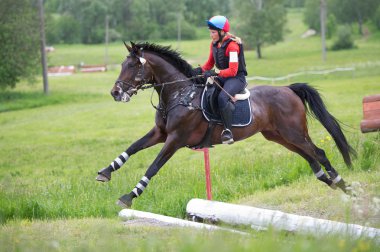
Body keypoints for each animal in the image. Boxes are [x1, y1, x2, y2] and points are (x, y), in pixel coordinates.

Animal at [95, 40, 356, 207]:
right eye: (122, 65)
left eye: (133, 66)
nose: (115, 93)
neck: (180, 94)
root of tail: (288, 89)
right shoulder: (159, 133)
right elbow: (131, 148)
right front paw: (105, 172)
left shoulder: (175, 139)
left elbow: (153, 166)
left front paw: (129, 196)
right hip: (280, 136)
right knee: (312, 159)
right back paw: (334, 184)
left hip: (294, 133)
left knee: (319, 153)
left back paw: (346, 187)